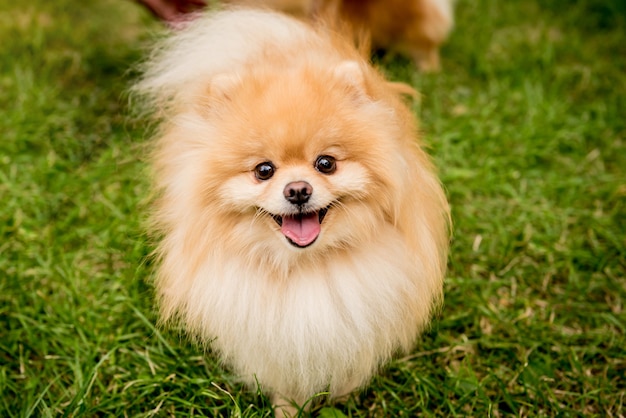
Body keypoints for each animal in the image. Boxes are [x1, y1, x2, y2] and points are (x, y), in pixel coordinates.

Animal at [135, 8, 448, 416]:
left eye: (326, 163)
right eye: (263, 170)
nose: (298, 190)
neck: (304, 267)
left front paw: (343, 400)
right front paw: (287, 409)